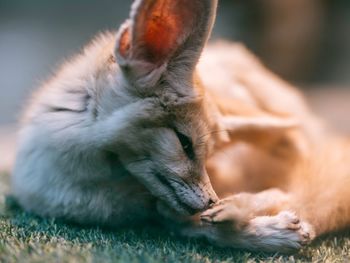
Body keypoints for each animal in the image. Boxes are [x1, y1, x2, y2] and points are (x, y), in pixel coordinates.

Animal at [12, 0, 350, 254]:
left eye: (208, 154)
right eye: (184, 143)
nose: (212, 200)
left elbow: (284, 196)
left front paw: (257, 222)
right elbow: (190, 225)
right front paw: (261, 228)